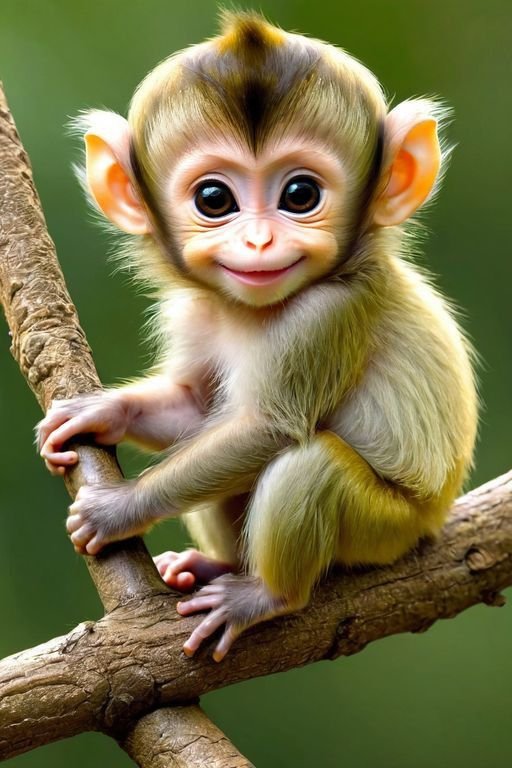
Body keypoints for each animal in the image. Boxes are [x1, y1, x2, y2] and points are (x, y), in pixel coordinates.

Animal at [37, 11, 478, 662]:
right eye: (214, 198)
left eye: (300, 194)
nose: (260, 243)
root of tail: (430, 522)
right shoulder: (191, 312)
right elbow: (196, 406)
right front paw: (103, 411)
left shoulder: (329, 312)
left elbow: (267, 428)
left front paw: (118, 509)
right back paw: (215, 568)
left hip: (386, 530)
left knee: (309, 465)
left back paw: (265, 595)